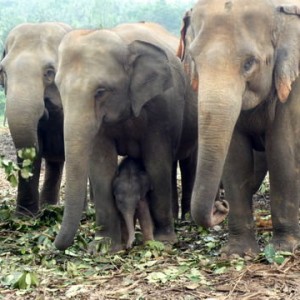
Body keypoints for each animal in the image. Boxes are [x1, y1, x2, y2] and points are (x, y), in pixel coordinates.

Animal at [54, 22, 197, 250]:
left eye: (101, 91)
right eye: (59, 89)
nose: (55, 245)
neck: (124, 42)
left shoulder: (163, 107)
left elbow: (157, 162)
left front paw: (164, 242)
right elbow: (102, 167)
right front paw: (103, 246)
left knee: (187, 161)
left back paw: (187, 219)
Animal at [179, 0, 300, 255]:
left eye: (249, 63)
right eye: (194, 59)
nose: (220, 206)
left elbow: (282, 151)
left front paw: (284, 249)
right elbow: (236, 158)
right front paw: (237, 252)